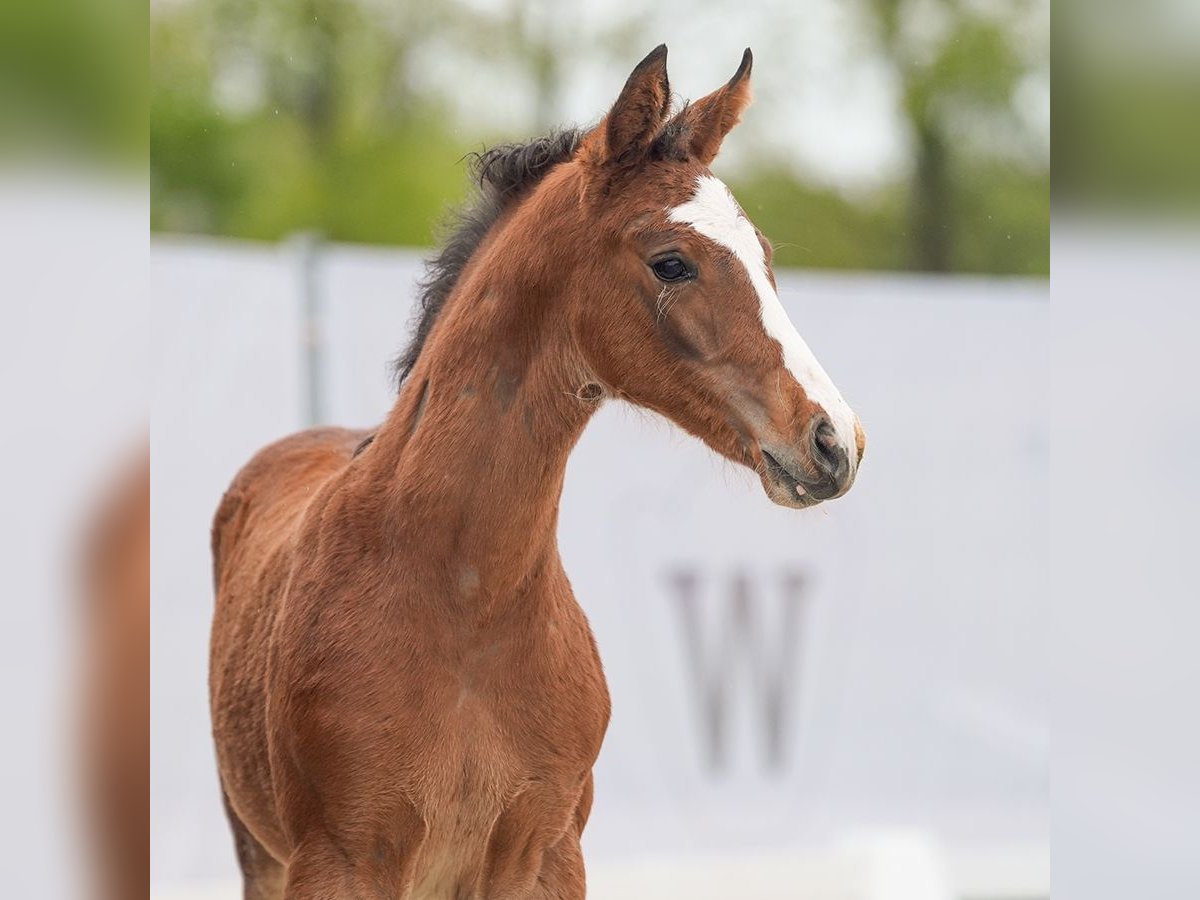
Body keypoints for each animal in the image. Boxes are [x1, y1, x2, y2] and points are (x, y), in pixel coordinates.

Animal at [208, 45, 864, 897]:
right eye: (672, 262)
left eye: (766, 259)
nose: (834, 440)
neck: (468, 602)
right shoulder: (340, 859)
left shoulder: (546, 853)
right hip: (260, 852)